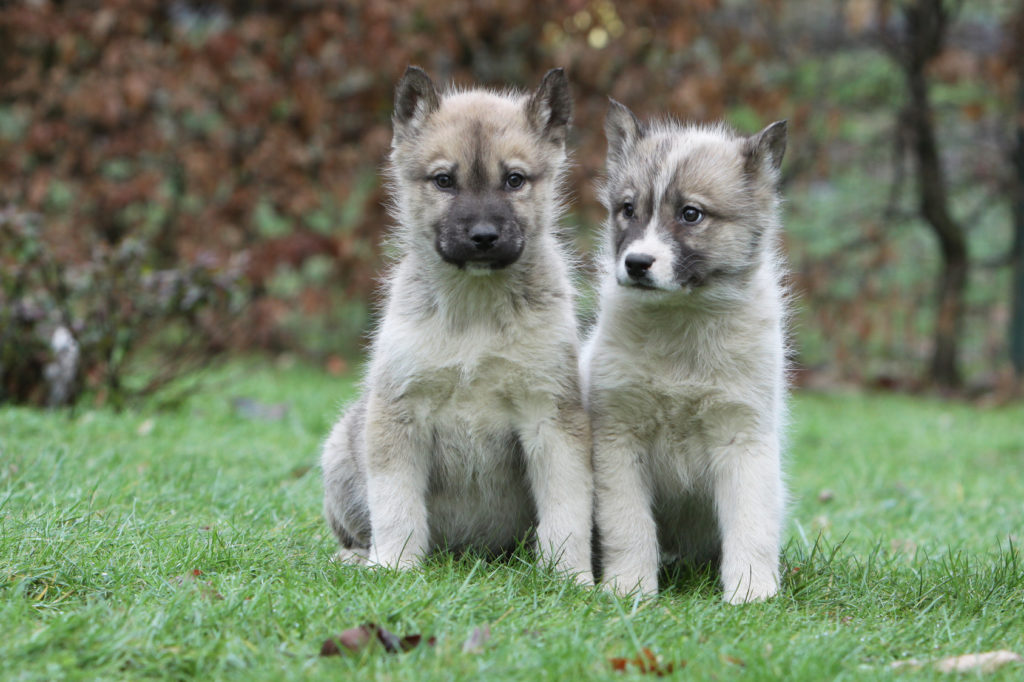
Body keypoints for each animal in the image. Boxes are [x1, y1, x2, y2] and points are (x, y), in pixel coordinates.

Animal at [319, 66, 593, 581]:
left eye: (514, 180)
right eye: (444, 180)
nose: (483, 237)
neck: (475, 315)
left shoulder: (550, 416)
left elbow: (567, 511)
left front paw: (573, 578)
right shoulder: (398, 412)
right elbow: (396, 506)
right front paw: (395, 566)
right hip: (342, 450)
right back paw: (355, 555)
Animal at [581, 100, 786, 602]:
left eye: (691, 214)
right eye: (628, 209)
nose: (636, 263)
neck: (681, 324)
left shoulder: (743, 437)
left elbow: (752, 524)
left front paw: (751, 593)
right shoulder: (619, 439)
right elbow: (628, 525)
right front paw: (629, 588)